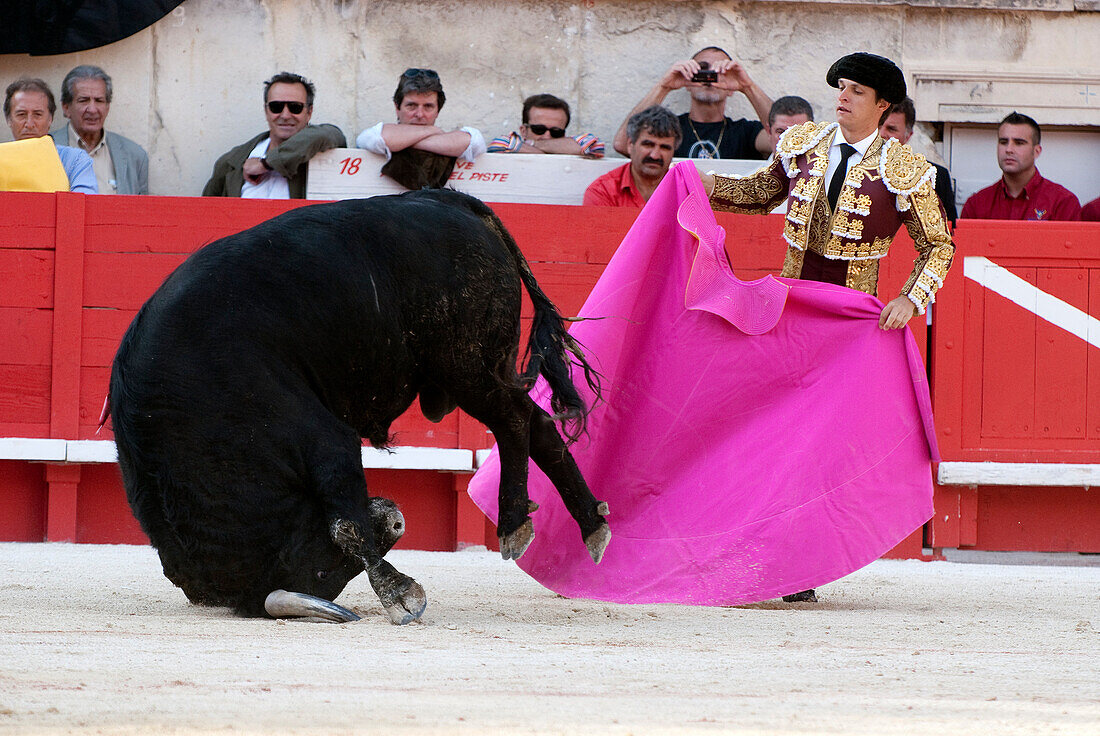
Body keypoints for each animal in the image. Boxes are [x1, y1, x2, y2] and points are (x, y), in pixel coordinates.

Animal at [108, 188, 611, 620]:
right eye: (322, 572)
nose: (395, 521)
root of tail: (445, 198)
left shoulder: (323, 439)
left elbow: (344, 524)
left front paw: (399, 595)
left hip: (466, 364)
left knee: (513, 420)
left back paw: (512, 521)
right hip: (489, 365)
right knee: (536, 422)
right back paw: (591, 524)